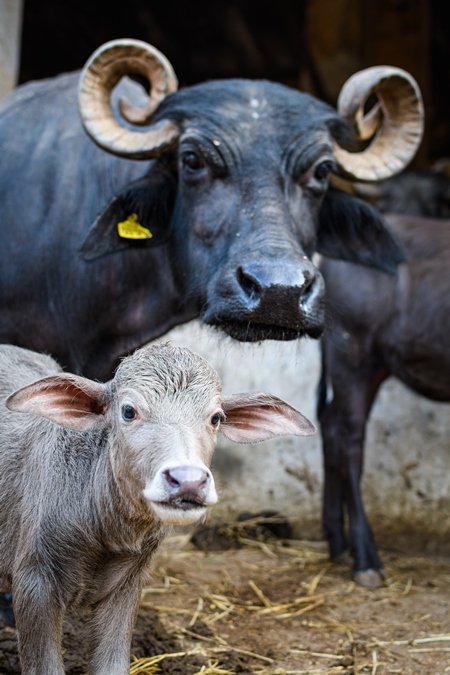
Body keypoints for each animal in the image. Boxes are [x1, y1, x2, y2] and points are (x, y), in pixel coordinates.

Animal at [0, 346, 312, 672]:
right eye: (128, 411)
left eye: (215, 418)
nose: (188, 482)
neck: (103, 532)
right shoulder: (33, 586)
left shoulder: (126, 587)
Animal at [316, 214, 450, 588]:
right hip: (353, 356)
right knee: (348, 439)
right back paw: (365, 558)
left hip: (374, 365)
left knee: (330, 424)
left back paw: (338, 542)